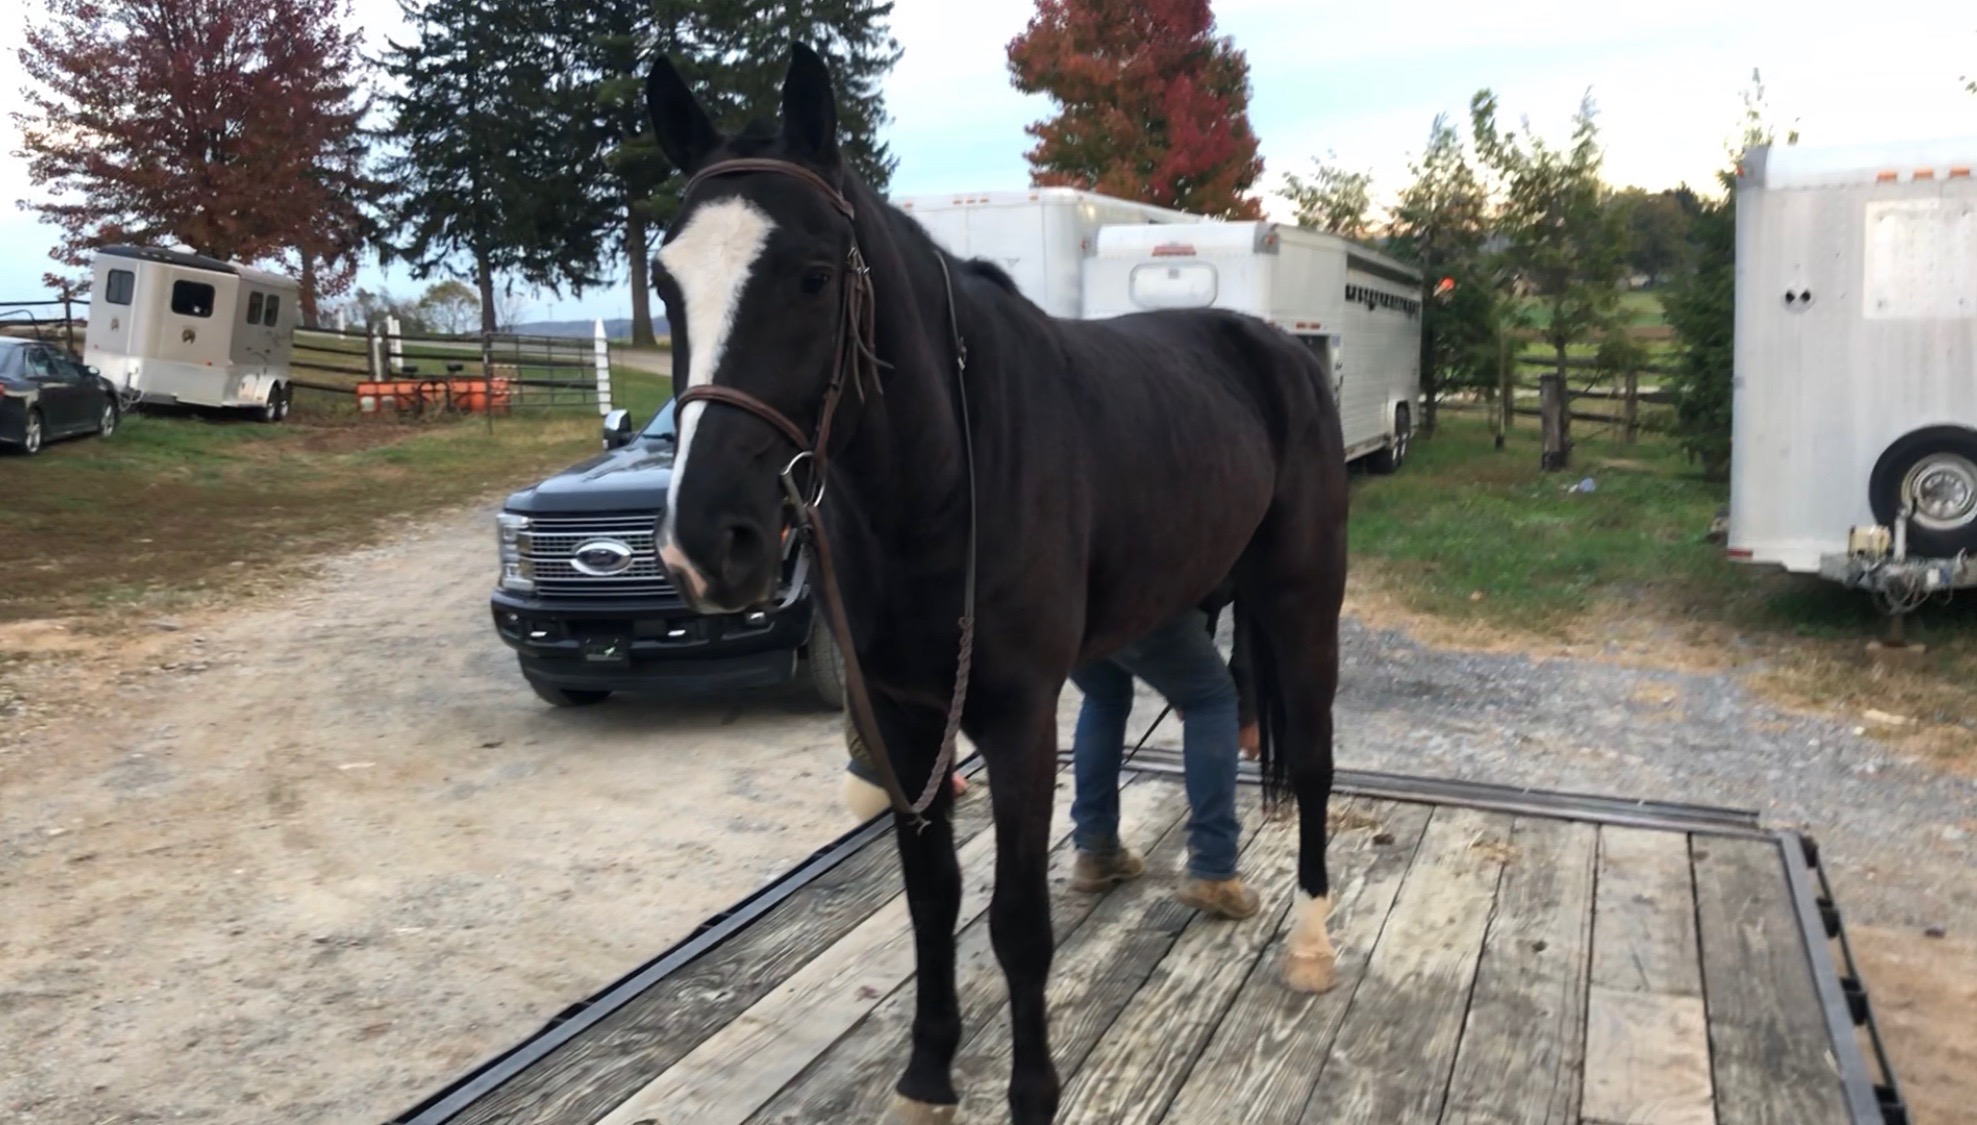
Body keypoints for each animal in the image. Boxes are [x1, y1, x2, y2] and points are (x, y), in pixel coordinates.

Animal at [645, 43, 1349, 1125]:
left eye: (812, 276)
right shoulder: (901, 720)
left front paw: (1031, 1090)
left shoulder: (1018, 720)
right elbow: (931, 895)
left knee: (1311, 761)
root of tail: (1283, 351)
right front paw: (928, 1074)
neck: (944, 481)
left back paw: (1311, 943)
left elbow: (1018, 918)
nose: (708, 546)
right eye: (663, 282)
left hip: (1304, 601)